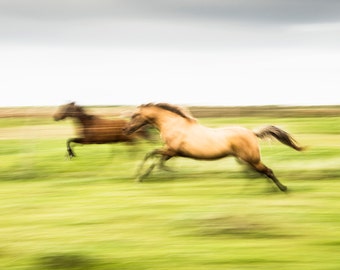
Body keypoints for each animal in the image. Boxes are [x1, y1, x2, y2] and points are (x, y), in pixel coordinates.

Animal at [123, 102, 306, 192]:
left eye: (135, 115)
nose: (125, 130)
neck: (174, 125)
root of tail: (252, 133)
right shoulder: (171, 152)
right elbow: (155, 159)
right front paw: (145, 175)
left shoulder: (171, 150)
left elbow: (151, 155)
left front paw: (140, 176)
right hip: (246, 159)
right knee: (261, 173)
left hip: (252, 158)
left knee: (267, 171)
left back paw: (282, 188)